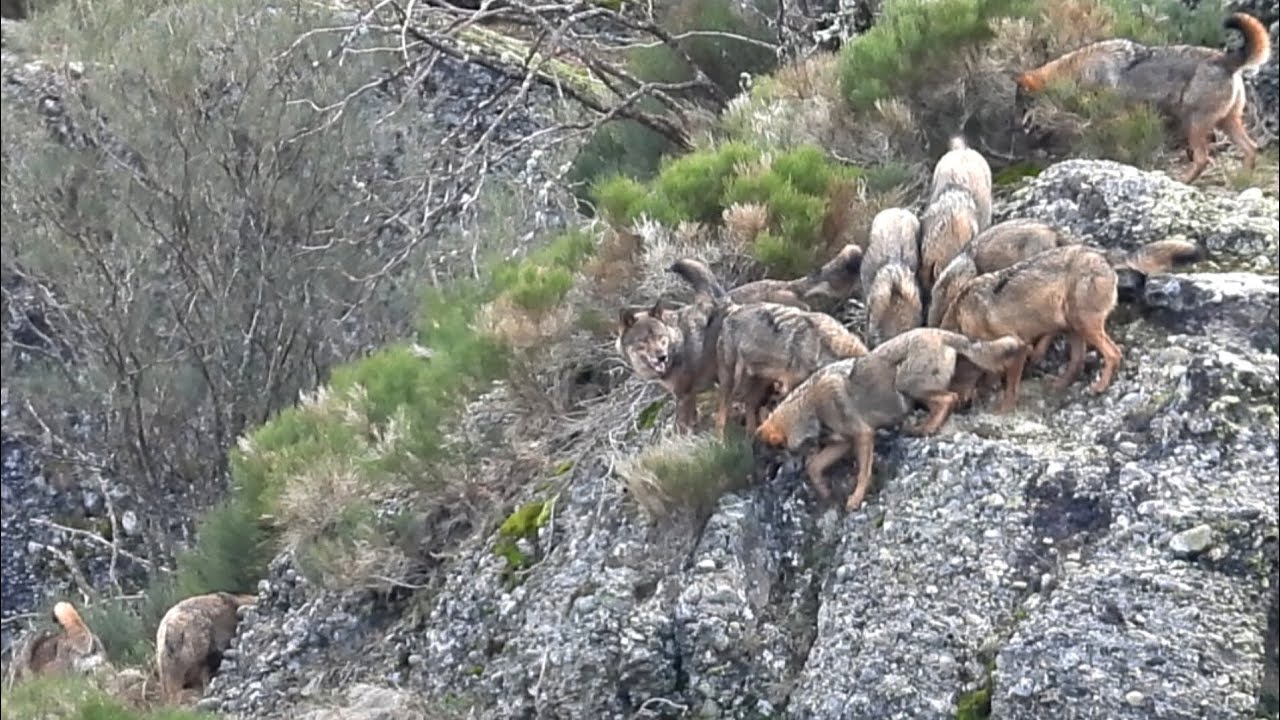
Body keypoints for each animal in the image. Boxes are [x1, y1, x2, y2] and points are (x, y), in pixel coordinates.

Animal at [755, 328, 1025, 512]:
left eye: (773, 457)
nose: (763, 478)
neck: (809, 407)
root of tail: (940, 332)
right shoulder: (842, 443)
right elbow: (814, 466)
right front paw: (824, 490)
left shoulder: (862, 435)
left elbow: (862, 473)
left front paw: (856, 498)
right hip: (910, 391)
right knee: (946, 399)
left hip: (907, 384)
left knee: (949, 398)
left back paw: (926, 428)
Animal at [937, 240, 1202, 412]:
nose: (959, 407)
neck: (962, 315)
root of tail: (1101, 254)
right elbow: (993, 376)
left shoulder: (1019, 348)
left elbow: (1009, 388)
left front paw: (1004, 412)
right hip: (1073, 326)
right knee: (1077, 362)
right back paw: (1060, 385)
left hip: (1083, 325)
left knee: (1114, 353)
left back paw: (1099, 387)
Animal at [1015, 13, 1273, 184]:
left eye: (1022, 107)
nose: (1020, 127)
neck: (1078, 72)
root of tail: (1225, 59)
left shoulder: (1112, 118)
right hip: (1225, 123)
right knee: (1251, 149)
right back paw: (1243, 180)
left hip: (1195, 125)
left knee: (1203, 159)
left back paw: (1183, 181)